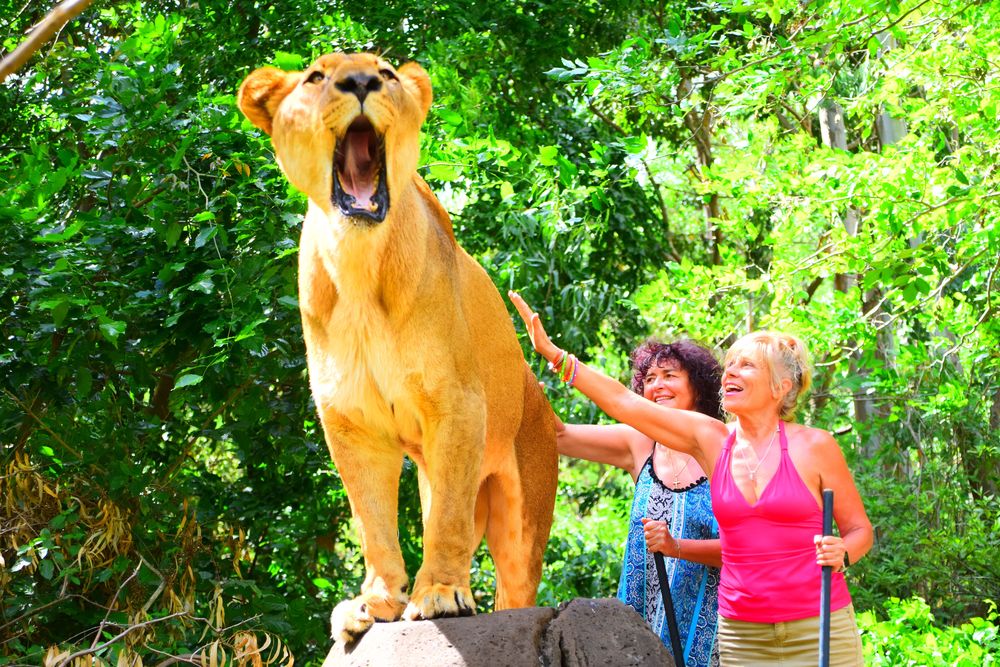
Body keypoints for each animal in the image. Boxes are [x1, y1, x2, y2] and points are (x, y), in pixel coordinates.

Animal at [237, 52, 560, 640]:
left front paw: (441, 595)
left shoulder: (457, 404)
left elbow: (446, 522)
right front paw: (374, 602)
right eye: (315, 78)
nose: (361, 83)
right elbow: (372, 521)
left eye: (385, 73)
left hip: (522, 507)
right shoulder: (351, 421)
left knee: (515, 587)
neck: (360, 263)